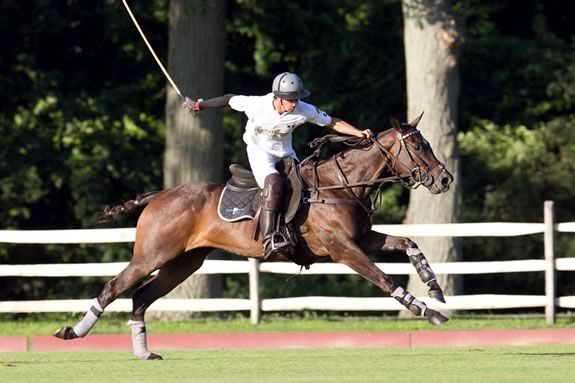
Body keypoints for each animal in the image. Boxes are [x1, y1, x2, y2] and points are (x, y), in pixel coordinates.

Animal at [56, 113, 456, 360]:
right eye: (418, 146)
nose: (444, 179)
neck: (341, 186)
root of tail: (158, 196)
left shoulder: (363, 238)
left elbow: (410, 244)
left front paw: (435, 289)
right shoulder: (342, 249)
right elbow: (385, 279)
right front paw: (428, 311)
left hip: (183, 263)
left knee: (140, 297)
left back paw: (143, 353)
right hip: (151, 255)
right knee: (113, 287)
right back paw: (73, 332)